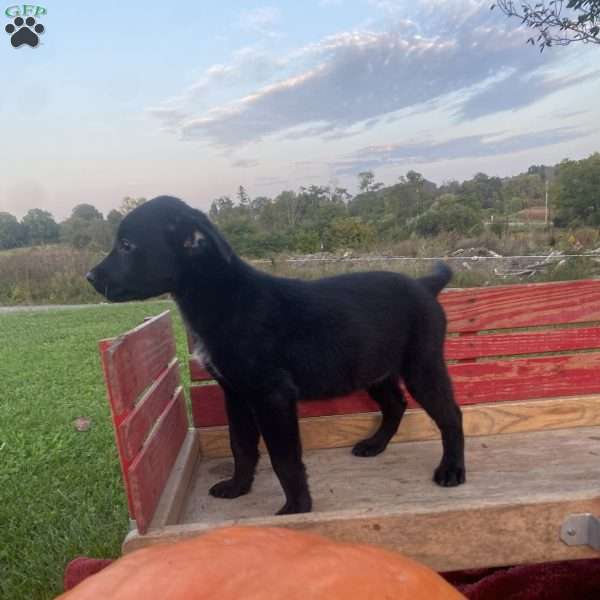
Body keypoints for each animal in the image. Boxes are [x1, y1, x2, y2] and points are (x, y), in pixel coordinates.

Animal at [88, 195, 464, 512]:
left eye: (126, 246)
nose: (89, 276)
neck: (224, 297)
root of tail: (424, 285)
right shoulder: (236, 394)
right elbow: (240, 445)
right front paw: (238, 487)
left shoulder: (272, 396)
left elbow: (285, 459)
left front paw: (297, 510)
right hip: (374, 367)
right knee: (395, 404)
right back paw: (375, 445)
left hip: (422, 365)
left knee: (450, 414)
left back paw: (452, 470)